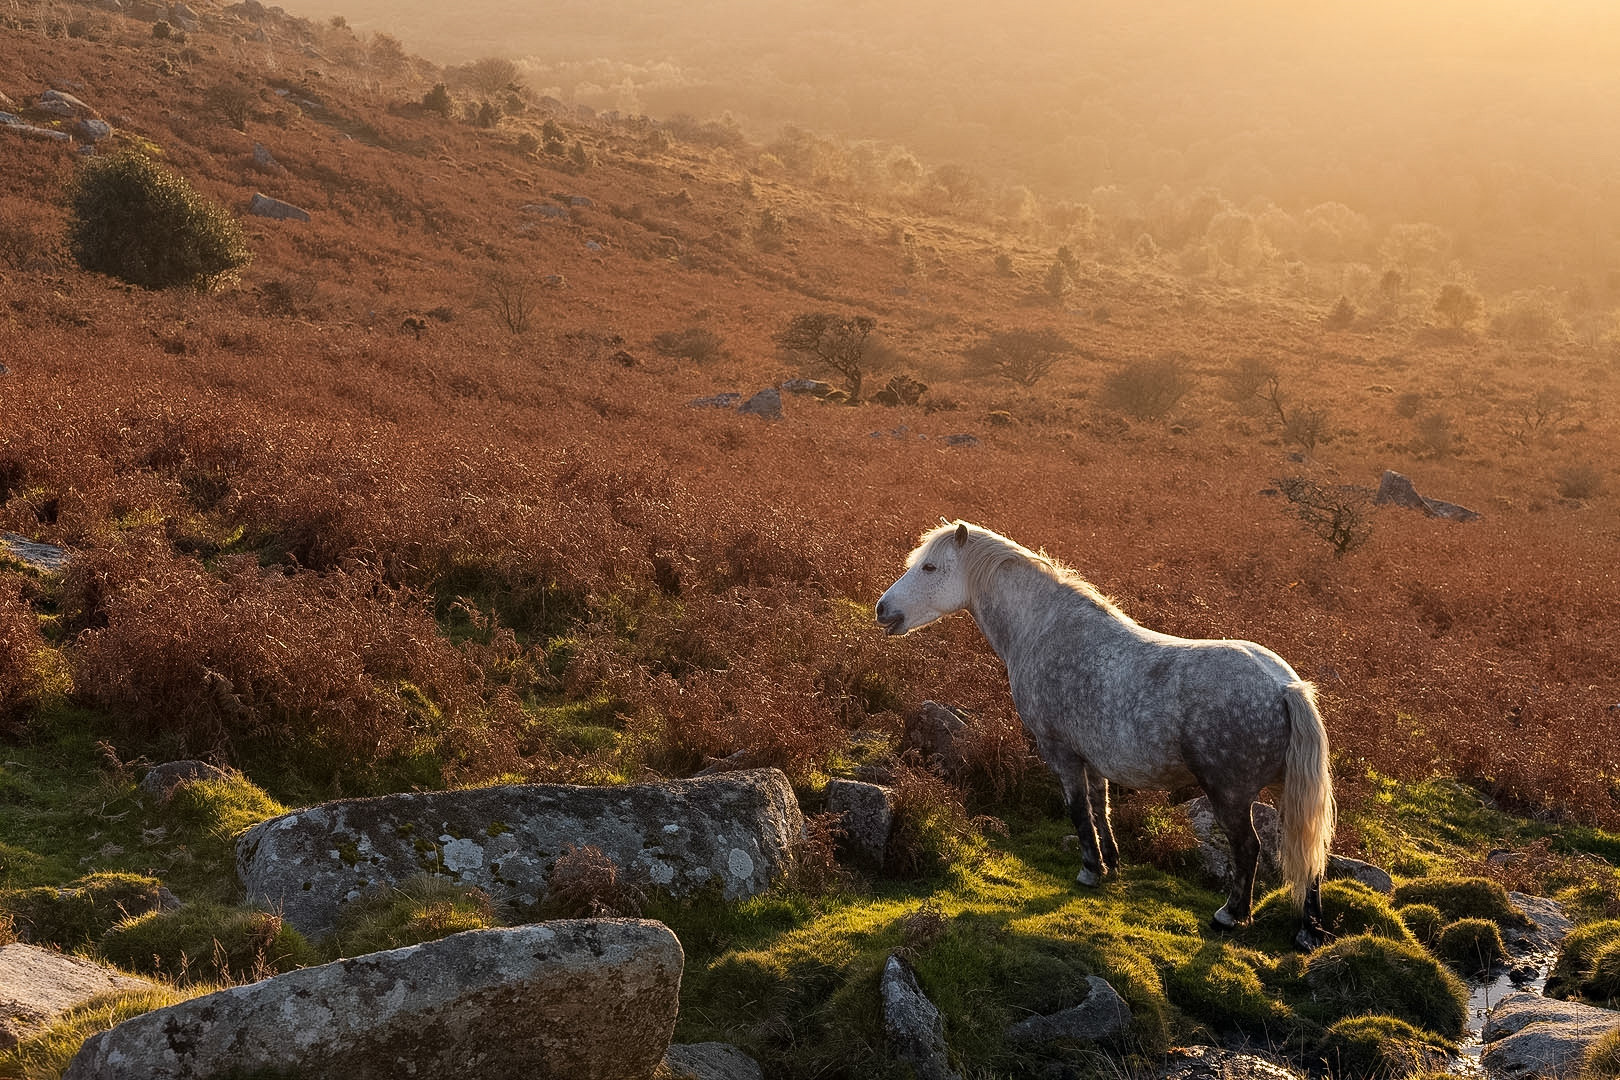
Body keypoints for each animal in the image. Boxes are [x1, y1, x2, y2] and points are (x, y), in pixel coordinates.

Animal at [875, 520, 1336, 949]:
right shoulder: (1092, 757)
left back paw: (1230, 915)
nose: (882, 609)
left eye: (930, 567)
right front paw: (1112, 863)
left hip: (1231, 795)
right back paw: (1309, 931)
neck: (1043, 629)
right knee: (1310, 855)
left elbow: (1079, 810)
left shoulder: (1060, 752)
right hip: (1286, 793)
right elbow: (1101, 807)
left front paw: (1090, 869)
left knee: (1249, 849)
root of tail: (1284, 687)